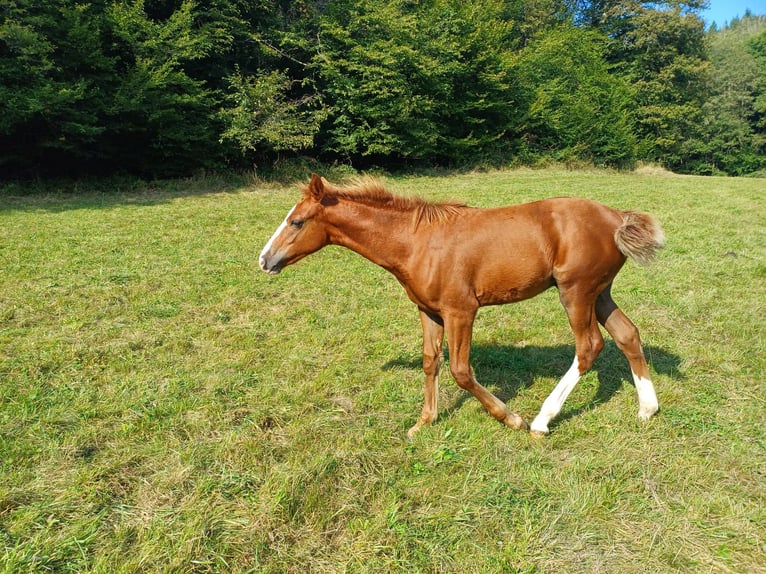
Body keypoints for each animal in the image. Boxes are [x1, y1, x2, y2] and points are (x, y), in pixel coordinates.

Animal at [260, 174, 664, 436]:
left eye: (297, 222)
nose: (265, 260)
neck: (416, 242)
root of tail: (616, 216)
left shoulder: (461, 311)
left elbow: (460, 371)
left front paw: (509, 417)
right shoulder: (429, 311)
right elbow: (430, 362)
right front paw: (424, 422)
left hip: (575, 292)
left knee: (589, 346)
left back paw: (540, 422)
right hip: (600, 292)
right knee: (628, 334)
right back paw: (647, 409)